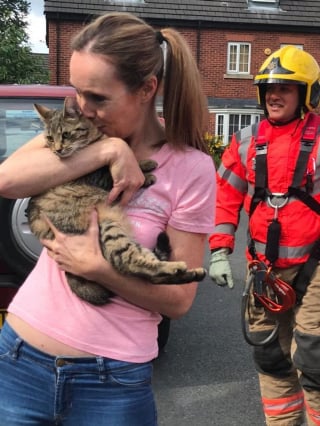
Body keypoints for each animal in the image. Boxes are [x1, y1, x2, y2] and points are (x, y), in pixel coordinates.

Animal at [27, 97, 206, 304]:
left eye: (65, 134)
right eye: (49, 138)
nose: (57, 150)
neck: (94, 139)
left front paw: (144, 165)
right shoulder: (103, 180)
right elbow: (121, 171)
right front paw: (146, 170)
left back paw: (192, 273)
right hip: (109, 228)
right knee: (131, 264)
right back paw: (177, 268)